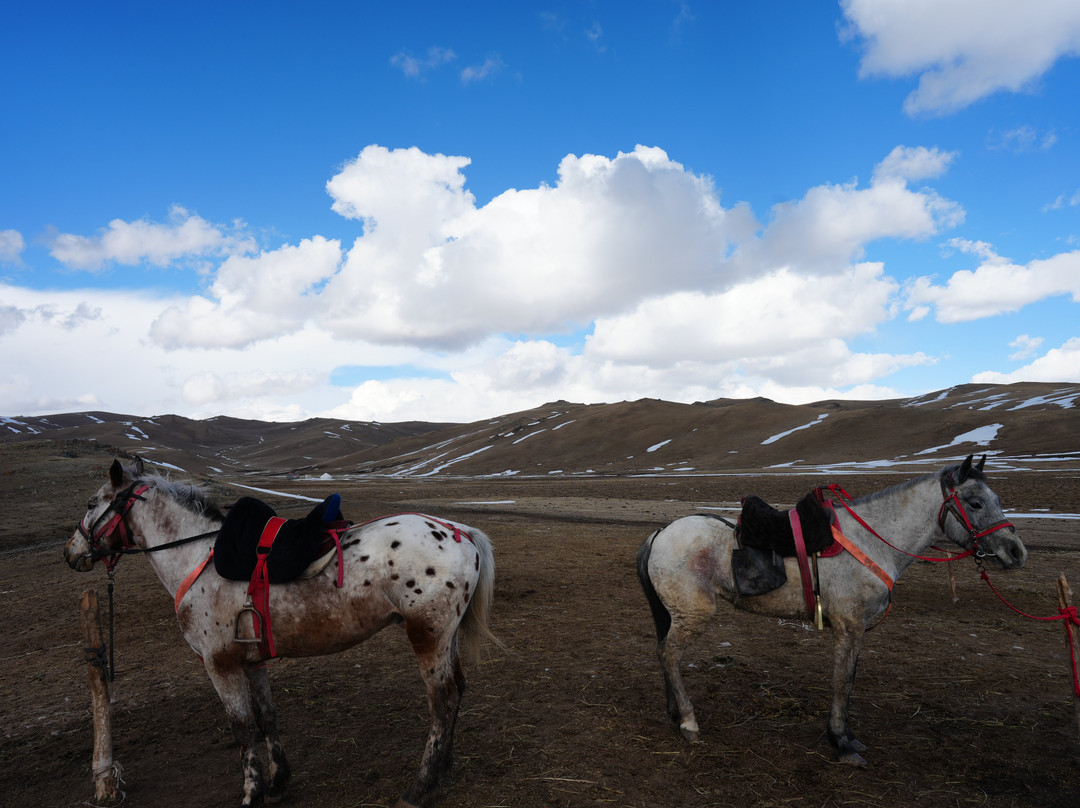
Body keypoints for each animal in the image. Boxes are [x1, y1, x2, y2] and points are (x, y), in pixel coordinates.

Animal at [64, 457, 498, 808]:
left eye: (90, 503)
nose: (70, 553)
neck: (196, 557)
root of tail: (458, 530)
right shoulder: (252, 661)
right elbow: (266, 717)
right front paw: (277, 783)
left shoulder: (220, 664)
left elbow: (241, 729)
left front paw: (251, 793)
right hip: (446, 636)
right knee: (458, 690)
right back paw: (443, 769)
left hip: (427, 635)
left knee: (441, 701)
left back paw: (420, 787)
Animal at [636, 455, 1027, 766]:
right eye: (974, 503)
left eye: (996, 499)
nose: (1016, 551)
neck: (875, 539)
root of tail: (660, 533)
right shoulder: (849, 625)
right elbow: (842, 682)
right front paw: (841, 742)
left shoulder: (855, 629)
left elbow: (849, 679)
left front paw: (846, 736)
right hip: (693, 614)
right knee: (669, 654)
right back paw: (688, 721)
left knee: (664, 654)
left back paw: (675, 713)